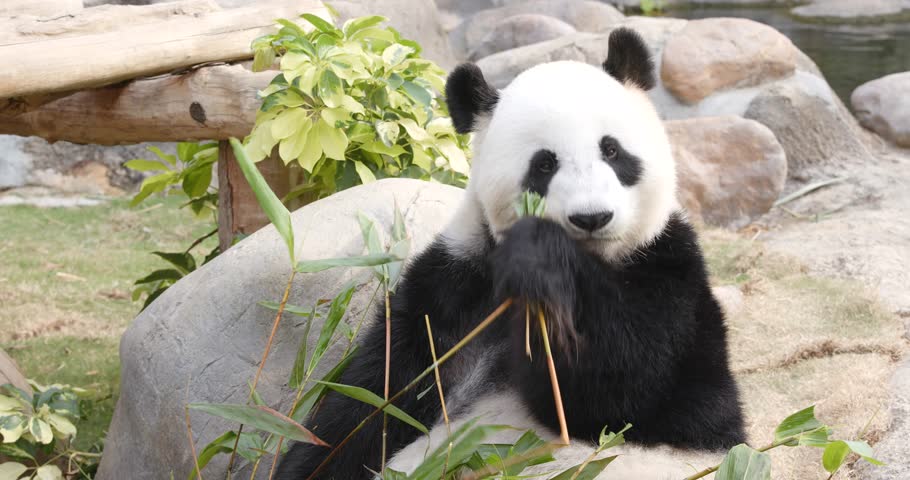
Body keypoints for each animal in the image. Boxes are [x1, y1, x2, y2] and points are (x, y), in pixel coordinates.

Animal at [278, 28, 748, 478]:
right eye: (544, 164)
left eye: (612, 150)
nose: (592, 217)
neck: (596, 264)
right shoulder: (454, 287)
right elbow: (376, 398)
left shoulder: (670, 273)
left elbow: (629, 394)